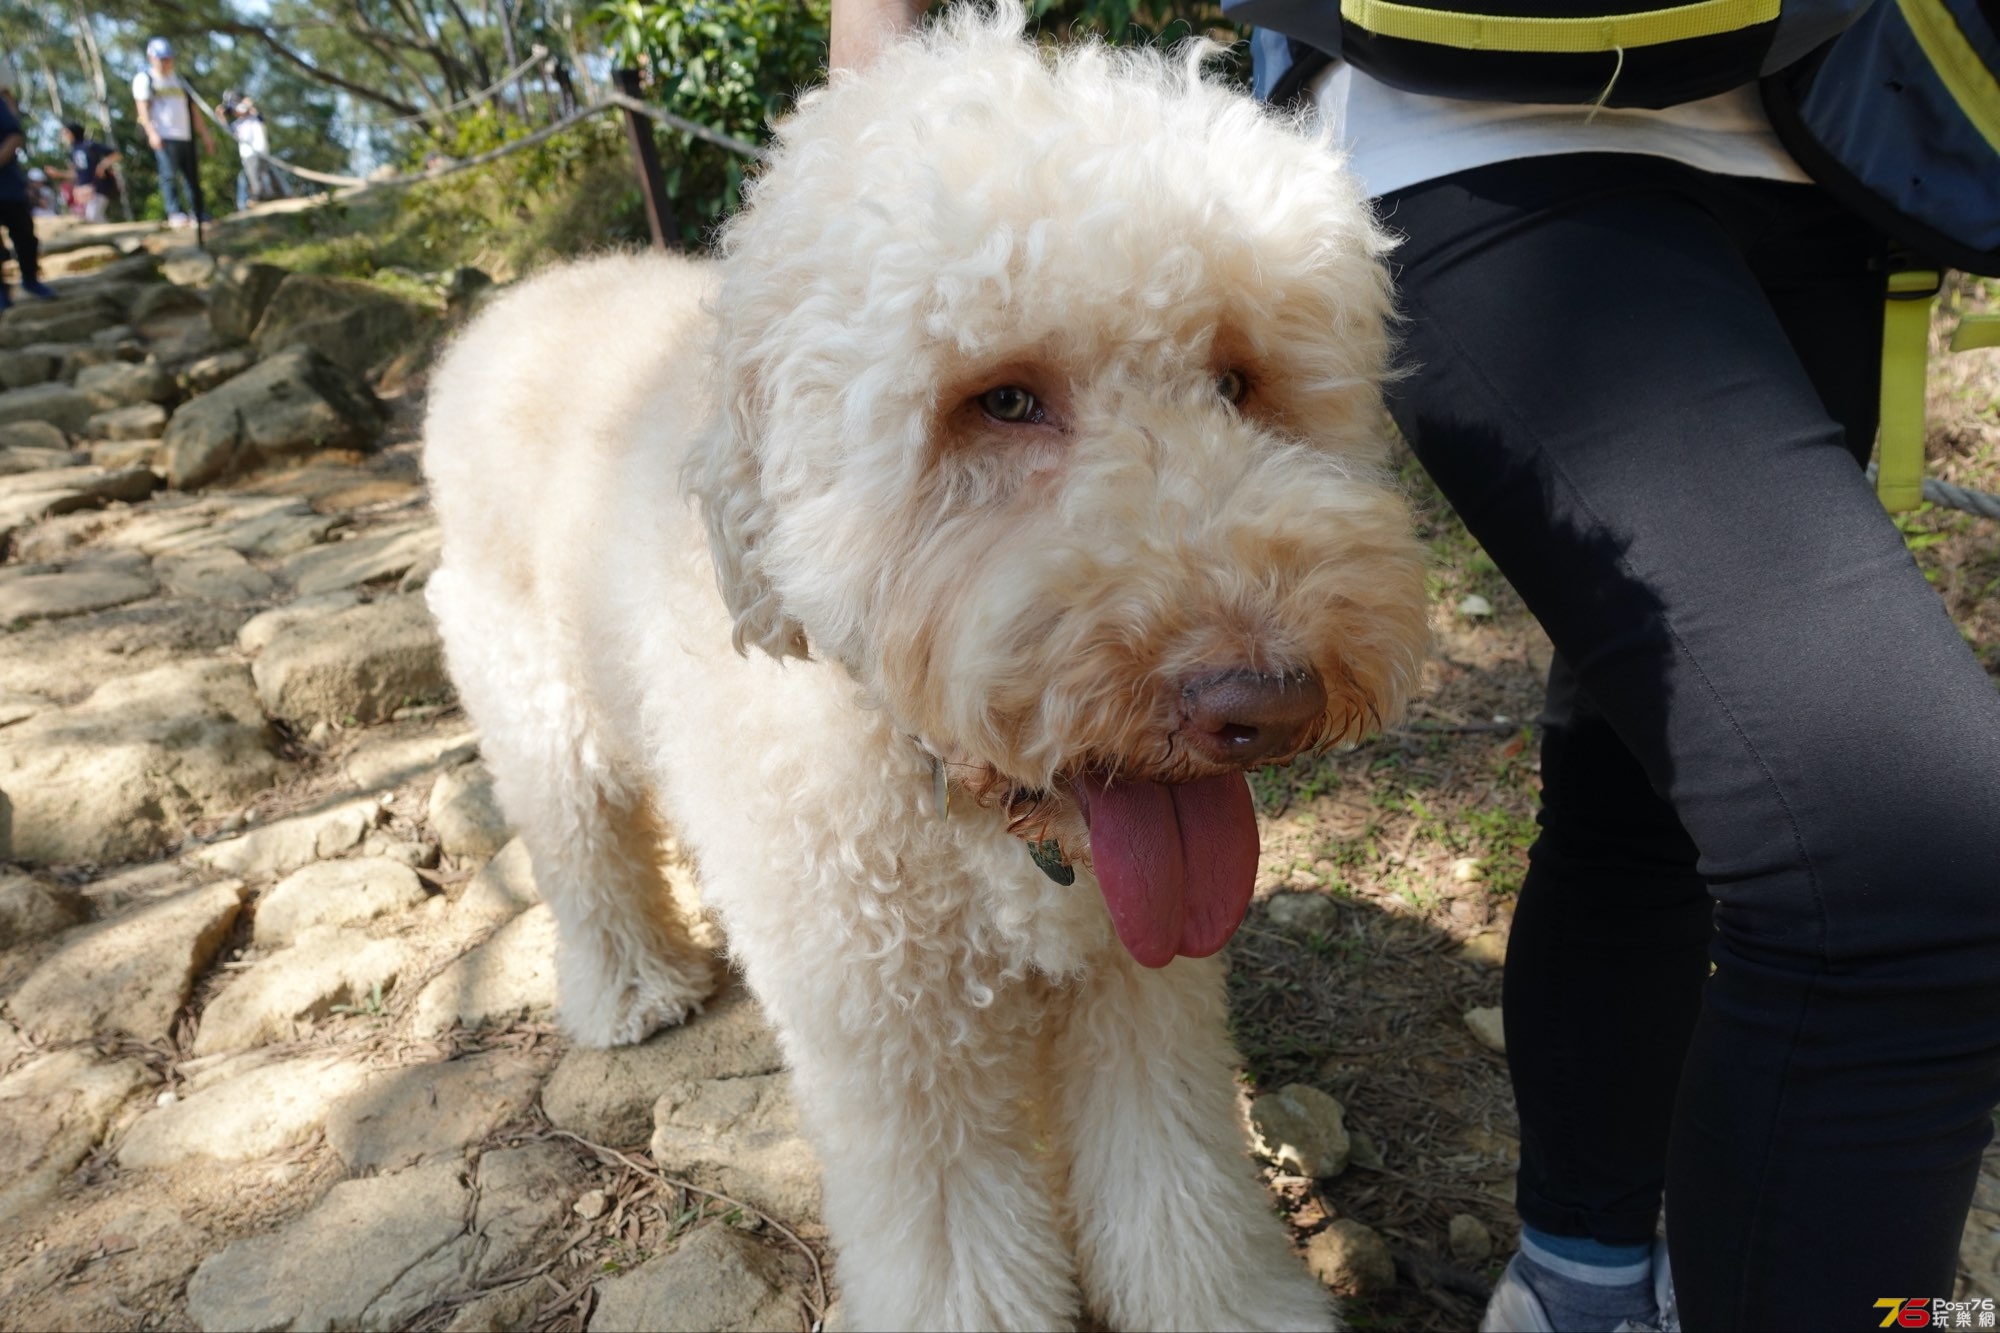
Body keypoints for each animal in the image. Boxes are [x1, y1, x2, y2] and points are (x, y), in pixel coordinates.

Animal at [422, 5, 1432, 1320]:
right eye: (1000, 400)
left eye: (1235, 379)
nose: (1260, 700)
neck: (971, 805)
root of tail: (533, 289)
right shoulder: (892, 1038)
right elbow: (958, 1247)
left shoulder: (1141, 987)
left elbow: (1173, 1179)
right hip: (528, 690)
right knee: (580, 838)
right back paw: (631, 985)